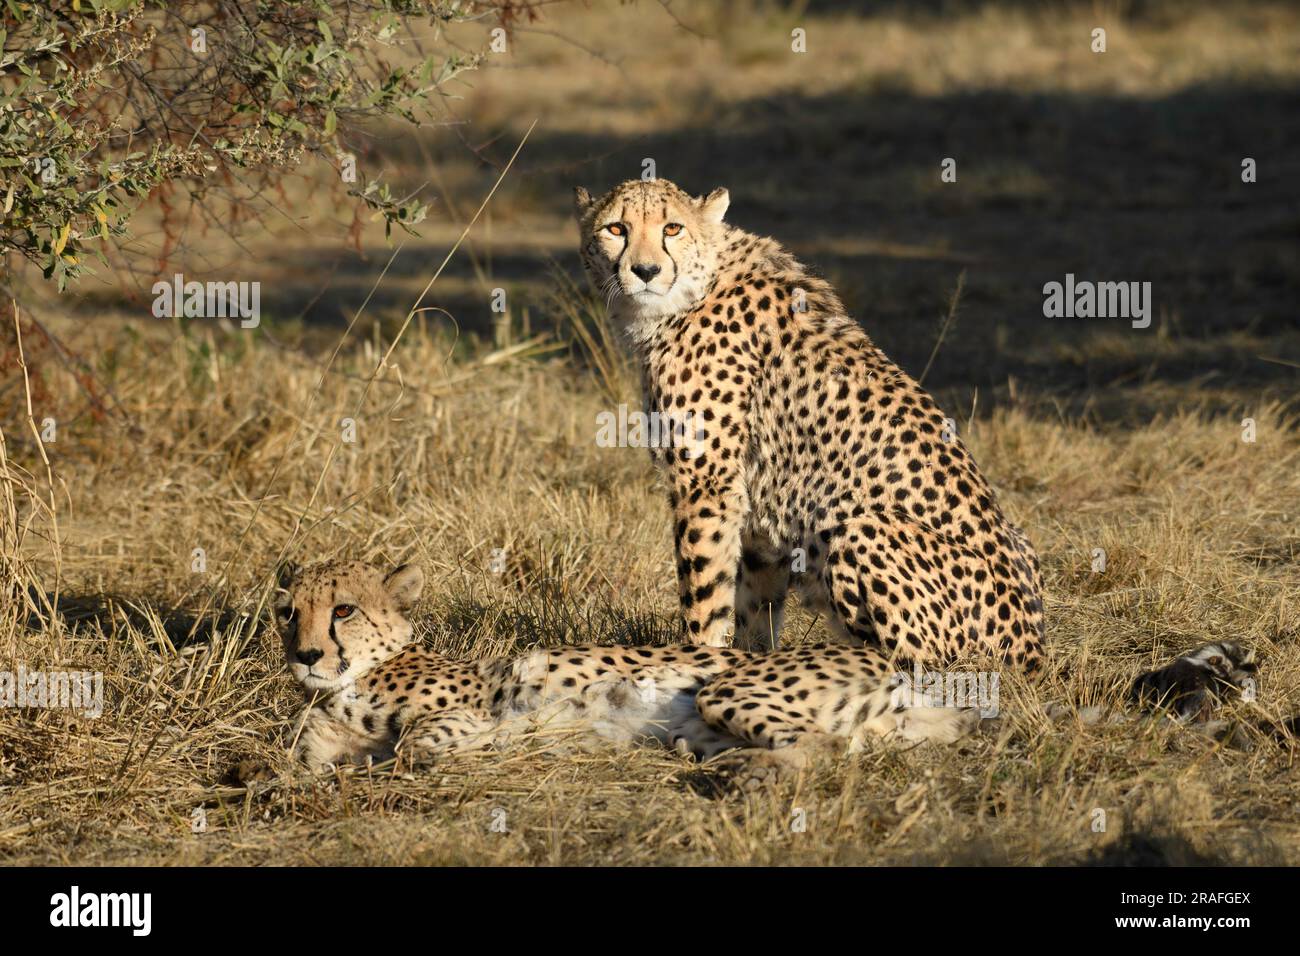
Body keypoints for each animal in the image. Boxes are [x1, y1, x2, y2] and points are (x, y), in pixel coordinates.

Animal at [279, 556, 977, 775]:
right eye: (289, 613)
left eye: (342, 609)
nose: (306, 655)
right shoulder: (324, 737)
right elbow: (309, 757)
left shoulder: (473, 707)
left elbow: (417, 741)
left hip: (725, 689)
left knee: (824, 747)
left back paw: (749, 774)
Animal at [577, 180, 1045, 671]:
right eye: (616, 228)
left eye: (672, 228)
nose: (645, 270)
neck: (690, 290)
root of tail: (1031, 648)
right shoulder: (757, 511)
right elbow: (754, 608)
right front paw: (748, 668)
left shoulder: (707, 485)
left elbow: (704, 595)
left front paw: (698, 660)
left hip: (862, 533)